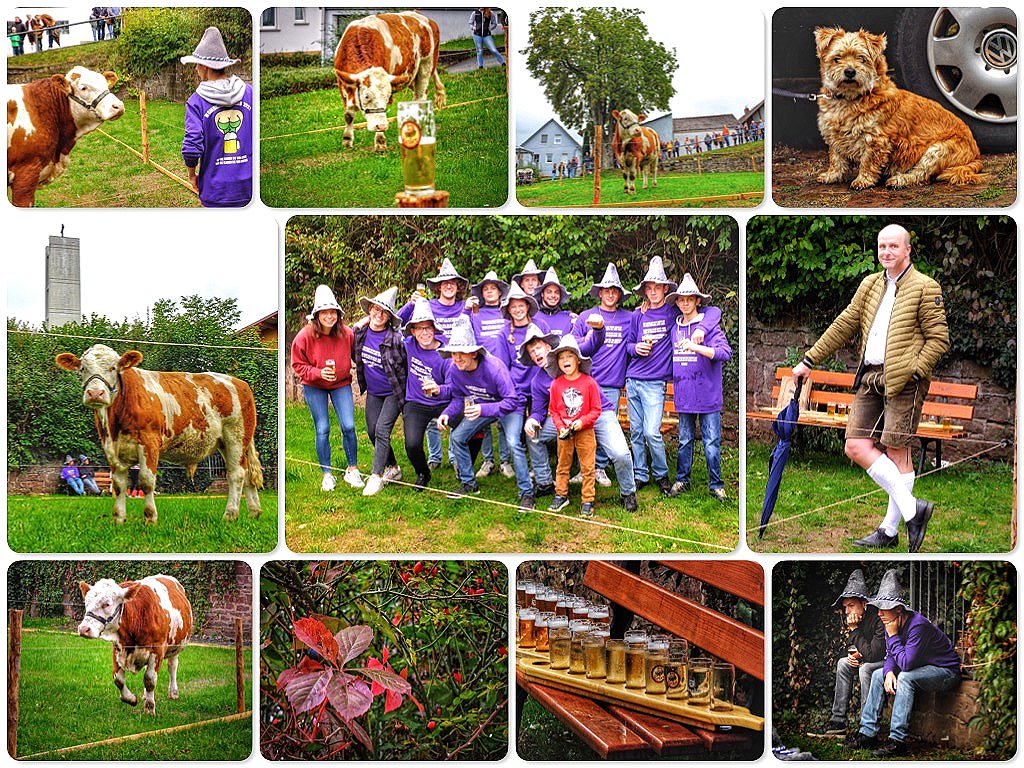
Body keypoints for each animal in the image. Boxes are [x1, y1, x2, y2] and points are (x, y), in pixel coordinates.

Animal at [55, 346, 264, 528]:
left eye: (113, 368)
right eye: (82, 368)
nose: (95, 393)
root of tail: (240, 383)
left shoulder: (149, 443)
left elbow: (146, 481)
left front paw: (150, 517)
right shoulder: (110, 448)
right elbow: (119, 485)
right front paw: (119, 519)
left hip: (236, 437)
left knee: (236, 474)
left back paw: (230, 515)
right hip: (227, 443)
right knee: (246, 473)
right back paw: (254, 512)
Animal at [77, 573, 192, 720]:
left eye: (106, 604)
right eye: (86, 603)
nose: (83, 629)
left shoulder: (157, 650)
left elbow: (150, 680)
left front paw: (149, 708)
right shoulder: (117, 648)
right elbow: (118, 679)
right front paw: (131, 699)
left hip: (176, 646)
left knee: (172, 666)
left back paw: (173, 692)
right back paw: (144, 695)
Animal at [333, 10, 446, 151]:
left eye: (387, 97)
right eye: (366, 96)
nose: (381, 126)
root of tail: (422, 16)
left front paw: (380, 142)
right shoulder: (343, 84)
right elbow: (348, 115)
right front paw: (347, 140)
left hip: (427, 64)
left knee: (421, 94)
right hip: (410, 76)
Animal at [811, 27, 978, 190]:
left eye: (862, 58)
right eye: (837, 59)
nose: (850, 71)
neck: (851, 98)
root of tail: (976, 155)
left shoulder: (876, 140)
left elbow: (868, 162)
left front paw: (863, 180)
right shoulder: (834, 136)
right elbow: (836, 159)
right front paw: (832, 175)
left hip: (937, 151)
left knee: (921, 175)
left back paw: (900, 179)